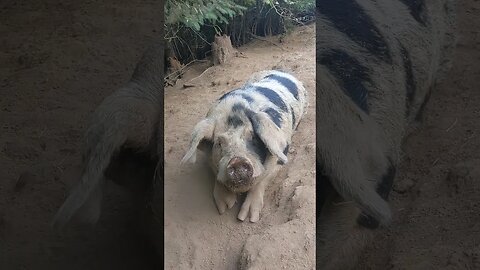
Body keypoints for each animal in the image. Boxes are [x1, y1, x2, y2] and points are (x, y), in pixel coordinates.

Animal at [180, 69, 308, 221]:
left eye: (252, 137)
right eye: (219, 143)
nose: (237, 161)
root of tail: (281, 70)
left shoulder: (281, 152)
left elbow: (262, 179)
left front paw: (248, 218)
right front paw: (224, 207)